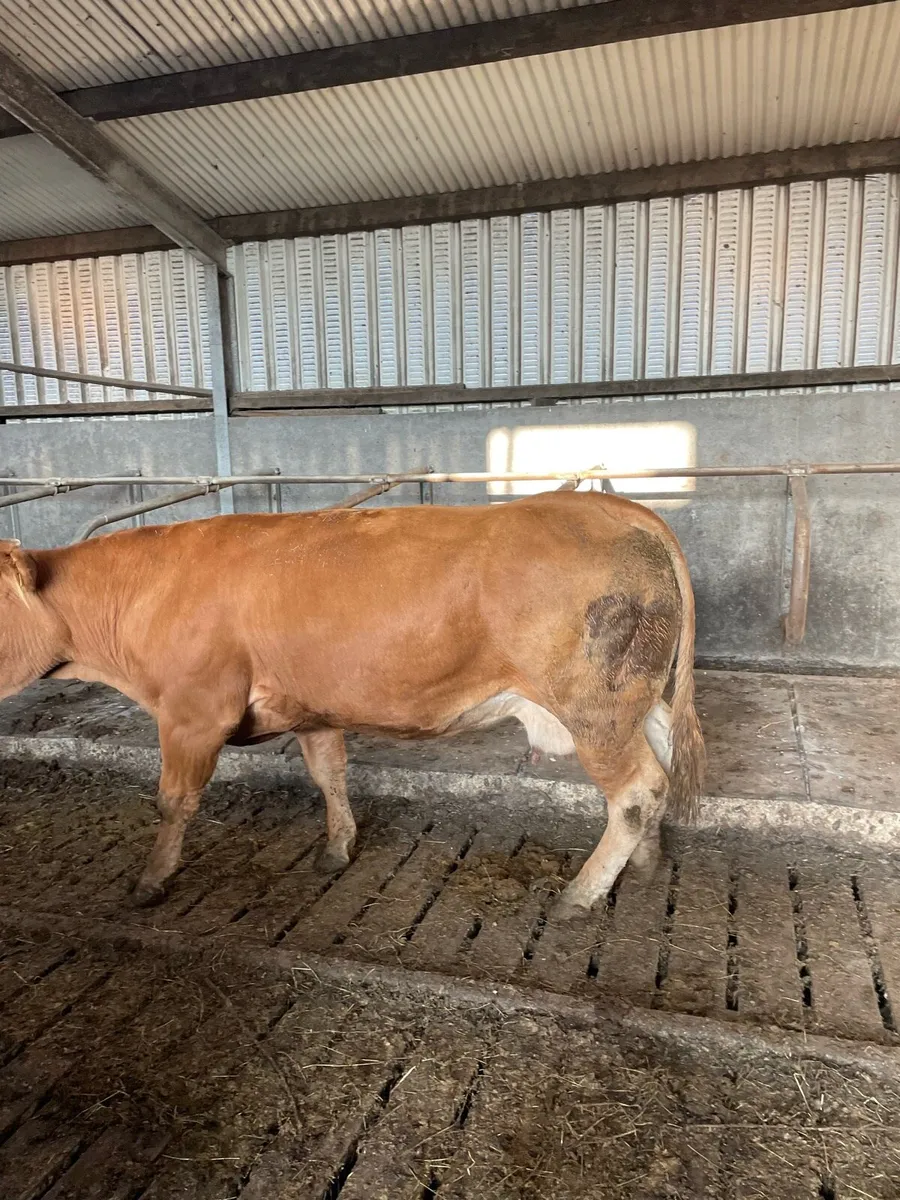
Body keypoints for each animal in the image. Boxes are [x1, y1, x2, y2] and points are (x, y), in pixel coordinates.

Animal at [0, 489, 704, 916]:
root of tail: (613, 505)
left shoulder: (193, 712)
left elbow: (175, 800)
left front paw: (150, 880)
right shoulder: (309, 706)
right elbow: (328, 773)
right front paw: (338, 846)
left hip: (595, 709)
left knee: (635, 789)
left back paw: (581, 894)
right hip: (643, 698)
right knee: (660, 775)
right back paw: (645, 864)